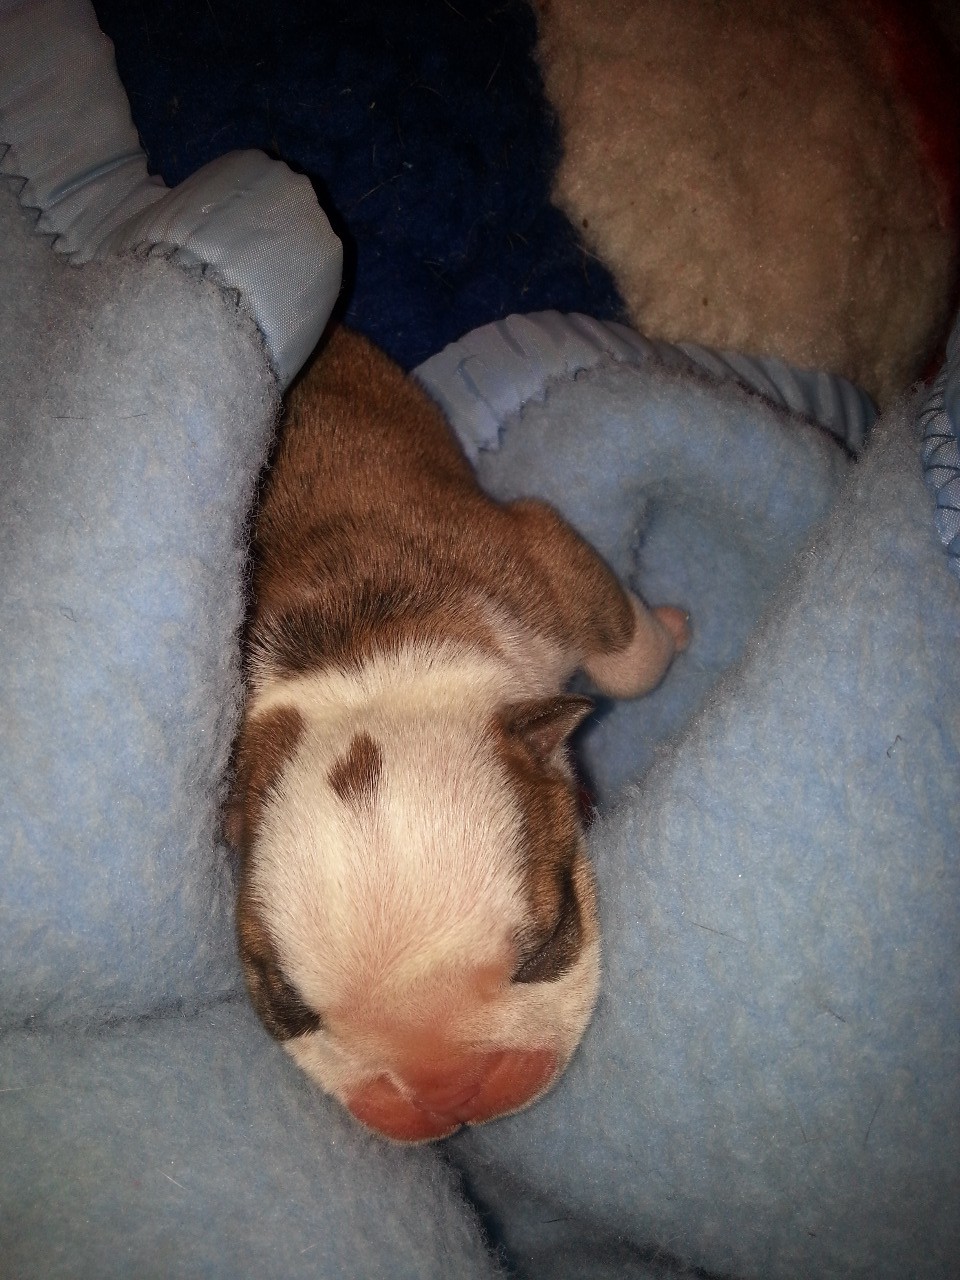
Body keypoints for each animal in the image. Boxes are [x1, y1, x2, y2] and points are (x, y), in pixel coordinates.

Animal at [224, 327, 689, 1141]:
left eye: (548, 942)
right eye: (290, 1011)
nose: (445, 1091)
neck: (368, 662)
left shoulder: (544, 563)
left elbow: (630, 658)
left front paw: (669, 628)